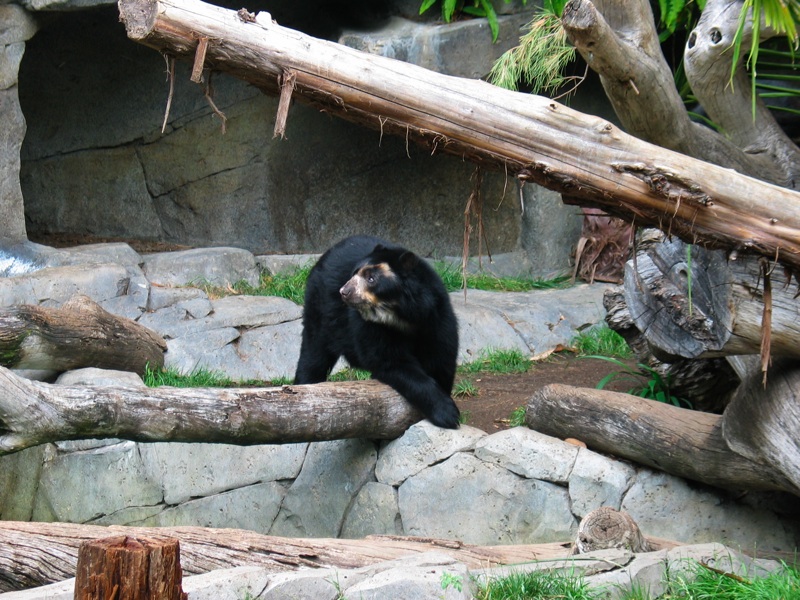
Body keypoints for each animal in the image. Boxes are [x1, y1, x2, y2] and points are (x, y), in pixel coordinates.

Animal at [294, 234, 460, 426]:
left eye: (371, 279)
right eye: (354, 273)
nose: (344, 291)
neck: (401, 316)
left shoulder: (436, 318)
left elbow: (440, 358)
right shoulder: (372, 327)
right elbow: (391, 361)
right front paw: (448, 414)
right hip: (321, 308)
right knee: (314, 353)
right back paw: (304, 385)